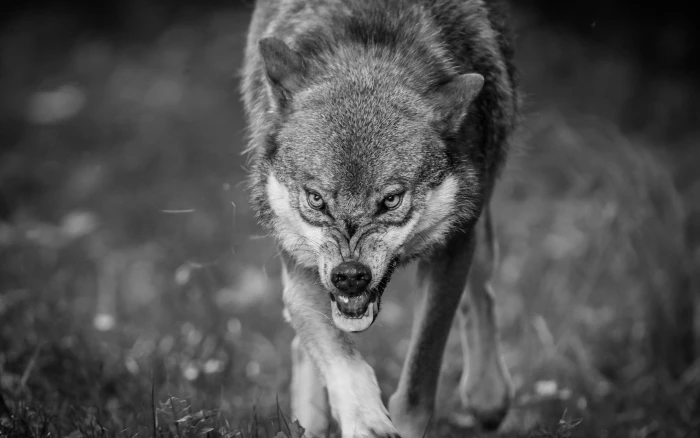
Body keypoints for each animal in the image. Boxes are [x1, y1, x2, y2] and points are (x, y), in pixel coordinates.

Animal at [241, 0, 518, 436]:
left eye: (390, 200)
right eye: (316, 199)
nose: (350, 276)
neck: (367, 52)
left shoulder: (453, 249)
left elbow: (418, 381)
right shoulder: (300, 271)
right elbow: (342, 360)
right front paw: (365, 421)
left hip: (478, 227)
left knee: (481, 292)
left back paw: (488, 396)